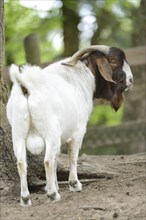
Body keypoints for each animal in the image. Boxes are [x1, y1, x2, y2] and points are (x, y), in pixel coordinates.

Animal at [6, 45, 133, 206]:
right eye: (113, 61)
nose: (131, 80)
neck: (81, 77)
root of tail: (26, 87)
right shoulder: (78, 132)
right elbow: (72, 157)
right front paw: (74, 185)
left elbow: (57, 158)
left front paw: (55, 186)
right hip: (50, 131)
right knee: (47, 161)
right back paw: (53, 195)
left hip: (18, 133)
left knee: (22, 162)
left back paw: (25, 199)